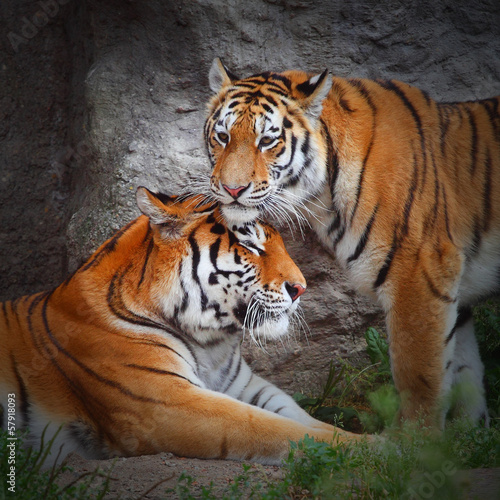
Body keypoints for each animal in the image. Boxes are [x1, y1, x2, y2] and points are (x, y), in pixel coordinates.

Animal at [0, 187, 368, 464]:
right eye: (250, 245)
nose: (301, 287)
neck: (213, 345)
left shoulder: (246, 388)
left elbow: (304, 419)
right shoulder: (171, 405)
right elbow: (277, 429)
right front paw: (375, 449)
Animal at [204, 56, 500, 428]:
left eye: (267, 141)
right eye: (222, 136)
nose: (232, 189)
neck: (322, 197)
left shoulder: (420, 274)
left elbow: (421, 376)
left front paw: (414, 439)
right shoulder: (452, 292)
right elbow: (464, 374)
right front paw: (465, 435)